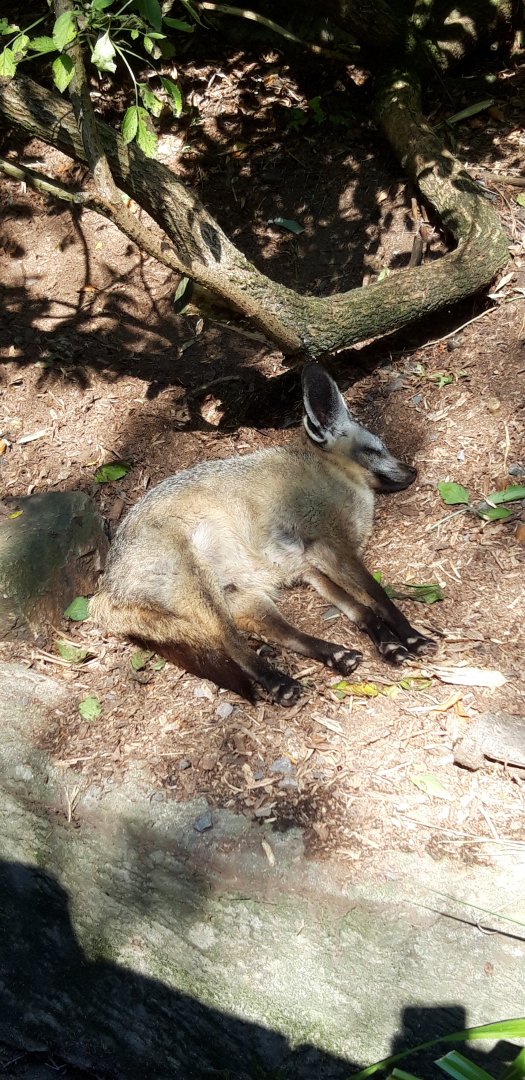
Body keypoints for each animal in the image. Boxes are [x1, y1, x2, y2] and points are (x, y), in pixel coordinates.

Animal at [91, 362, 436, 705]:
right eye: (376, 450)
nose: (413, 471)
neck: (330, 475)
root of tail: (106, 589)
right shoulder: (333, 548)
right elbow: (379, 597)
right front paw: (412, 637)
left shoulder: (310, 567)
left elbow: (360, 608)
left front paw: (387, 642)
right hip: (207, 598)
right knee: (231, 647)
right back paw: (279, 683)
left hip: (247, 600)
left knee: (287, 636)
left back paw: (334, 655)